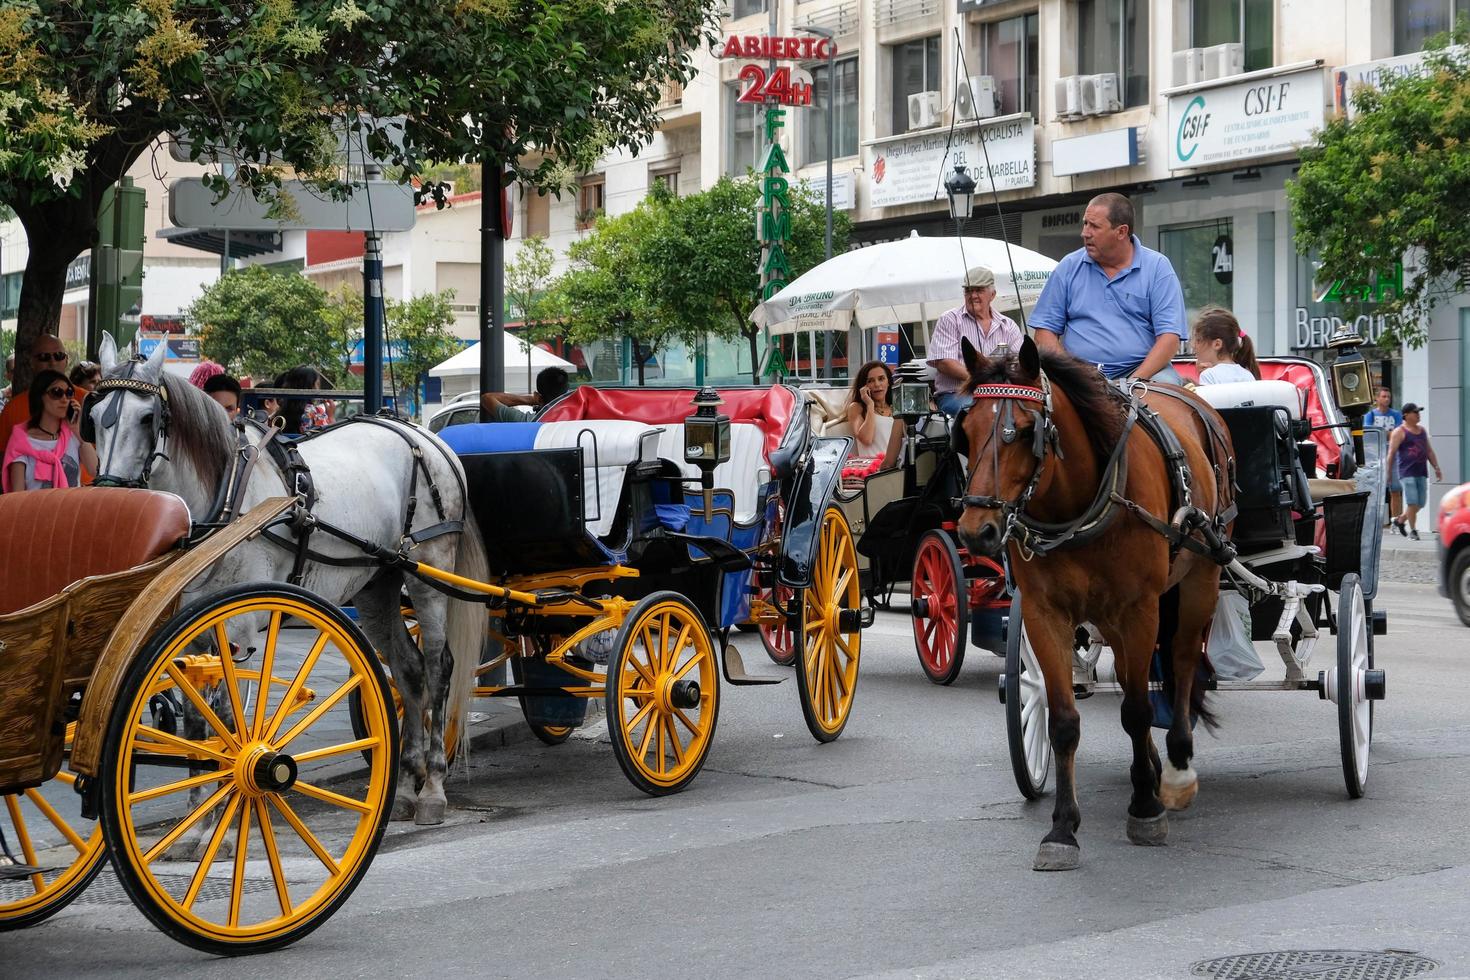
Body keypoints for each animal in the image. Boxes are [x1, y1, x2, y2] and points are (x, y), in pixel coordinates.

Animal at [91, 337, 488, 828]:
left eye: (148, 418)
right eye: (93, 417)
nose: (112, 498)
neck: (228, 497)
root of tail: (424, 436)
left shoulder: (239, 626)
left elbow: (227, 713)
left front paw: (223, 814)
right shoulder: (188, 629)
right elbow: (197, 719)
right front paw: (198, 815)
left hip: (429, 570)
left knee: (437, 667)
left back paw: (432, 785)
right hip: (377, 582)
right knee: (408, 670)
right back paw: (403, 785)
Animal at [958, 333, 1234, 869]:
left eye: (1026, 431)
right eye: (965, 430)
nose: (976, 532)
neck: (1078, 501)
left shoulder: (1139, 608)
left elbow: (1138, 710)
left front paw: (1146, 808)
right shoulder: (1044, 613)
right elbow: (1064, 719)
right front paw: (1062, 829)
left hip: (1200, 579)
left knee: (1181, 661)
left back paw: (1176, 768)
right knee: (1136, 675)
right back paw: (1151, 766)